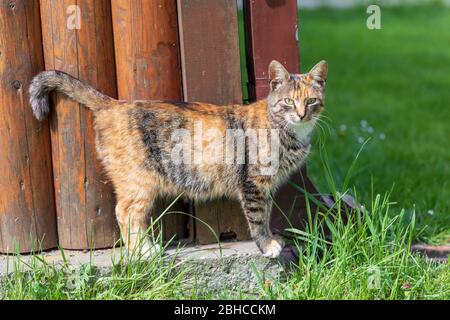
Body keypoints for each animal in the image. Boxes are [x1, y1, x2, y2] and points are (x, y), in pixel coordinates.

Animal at [29, 60, 326, 258]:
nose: (301, 114)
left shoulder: (266, 186)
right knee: (124, 213)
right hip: (139, 182)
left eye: (311, 101)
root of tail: (113, 104)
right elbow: (259, 218)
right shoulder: (254, 184)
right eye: (288, 101)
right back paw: (143, 252)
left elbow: (267, 212)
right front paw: (267, 245)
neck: (285, 129)